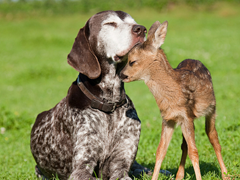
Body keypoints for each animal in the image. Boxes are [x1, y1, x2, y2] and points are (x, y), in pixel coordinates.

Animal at [30, 10, 146, 180]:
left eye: (133, 21)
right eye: (110, 23)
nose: (141, 29)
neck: (109, 103)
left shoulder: (121, 164)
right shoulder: (81, 168)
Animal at [121, 21, 228, 180]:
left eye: (132, 61)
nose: (122, 75)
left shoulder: (186, 115)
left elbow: (194, 151)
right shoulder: (168, 119)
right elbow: (161, 151)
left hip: (211, 109)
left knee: (213, 137)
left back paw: (225, 174)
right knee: (185, 146)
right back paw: (179, 175)